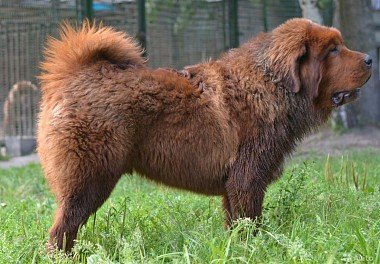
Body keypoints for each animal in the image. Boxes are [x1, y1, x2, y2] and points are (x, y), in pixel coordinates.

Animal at [38, 18, 372, 250]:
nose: (370, 58)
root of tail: (75, 74)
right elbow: (250, 223)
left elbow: (236, 225)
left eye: (340, 46)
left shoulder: (234, 185)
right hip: (88, 183)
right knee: (61, 231)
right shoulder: (247, 180)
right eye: (333, 51)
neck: (270, 84)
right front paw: (254, 249)